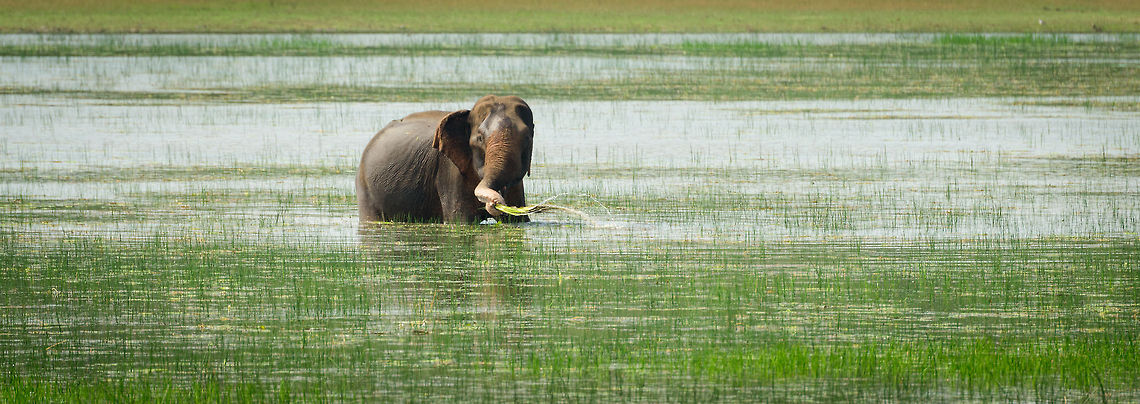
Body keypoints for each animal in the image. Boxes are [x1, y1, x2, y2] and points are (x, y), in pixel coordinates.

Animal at [356, 95, 534, 223]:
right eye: (480, 138)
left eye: (527, 138)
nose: (495, 203)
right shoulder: (448, 170)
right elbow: (460, 220)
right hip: (365, 189)